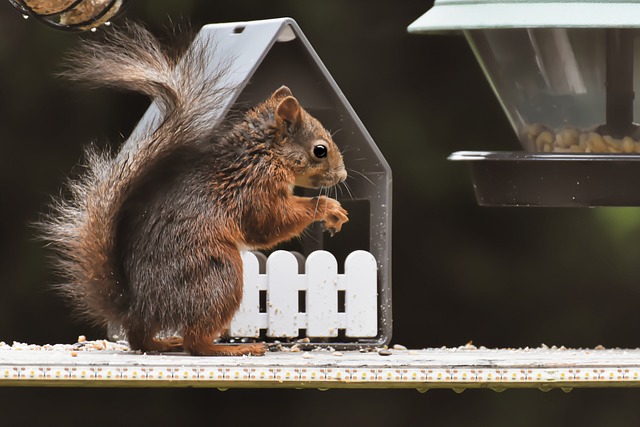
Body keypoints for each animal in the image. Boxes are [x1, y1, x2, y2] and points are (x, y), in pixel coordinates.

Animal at [38, 23, 350, 358]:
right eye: (320, 150)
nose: (343, 174)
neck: (264, 154)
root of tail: (137, 306)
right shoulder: (253, 188)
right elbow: (268, 224)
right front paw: (329, 208)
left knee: (141, 339)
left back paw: (164, 342)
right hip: (218, 275)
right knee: (195, 342)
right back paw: (232, 348)